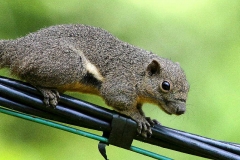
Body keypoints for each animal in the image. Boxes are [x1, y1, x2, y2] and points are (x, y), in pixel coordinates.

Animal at [0, 24, 189, 138]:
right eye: (165, 85)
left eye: (188, 87)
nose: (181, 110)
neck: (139, 73)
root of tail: (17, 48)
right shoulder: (120, 83)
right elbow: (119, 102)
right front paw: (139, 118)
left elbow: (139, 107)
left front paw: (147, 117)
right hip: (67, 65)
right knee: (25, 74)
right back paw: (45, 90)